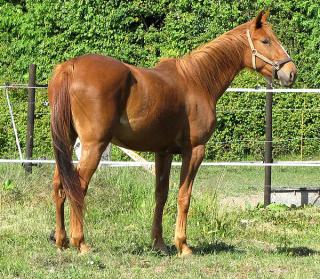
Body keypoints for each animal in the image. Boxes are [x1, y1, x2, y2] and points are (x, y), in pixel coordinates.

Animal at [48, 10, 296, 256]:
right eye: (266, 41)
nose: (291, 72)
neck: (197, 80)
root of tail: (70, 66)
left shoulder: (163, 153)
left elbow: (161, 195)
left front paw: (158, 243)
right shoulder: (194, 151)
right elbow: (184, 196)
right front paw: (183, 245)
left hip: (67, 142)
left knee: (59, 184)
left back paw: (61, 240)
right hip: (94, 145)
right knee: (78, 187)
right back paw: (80, 242)